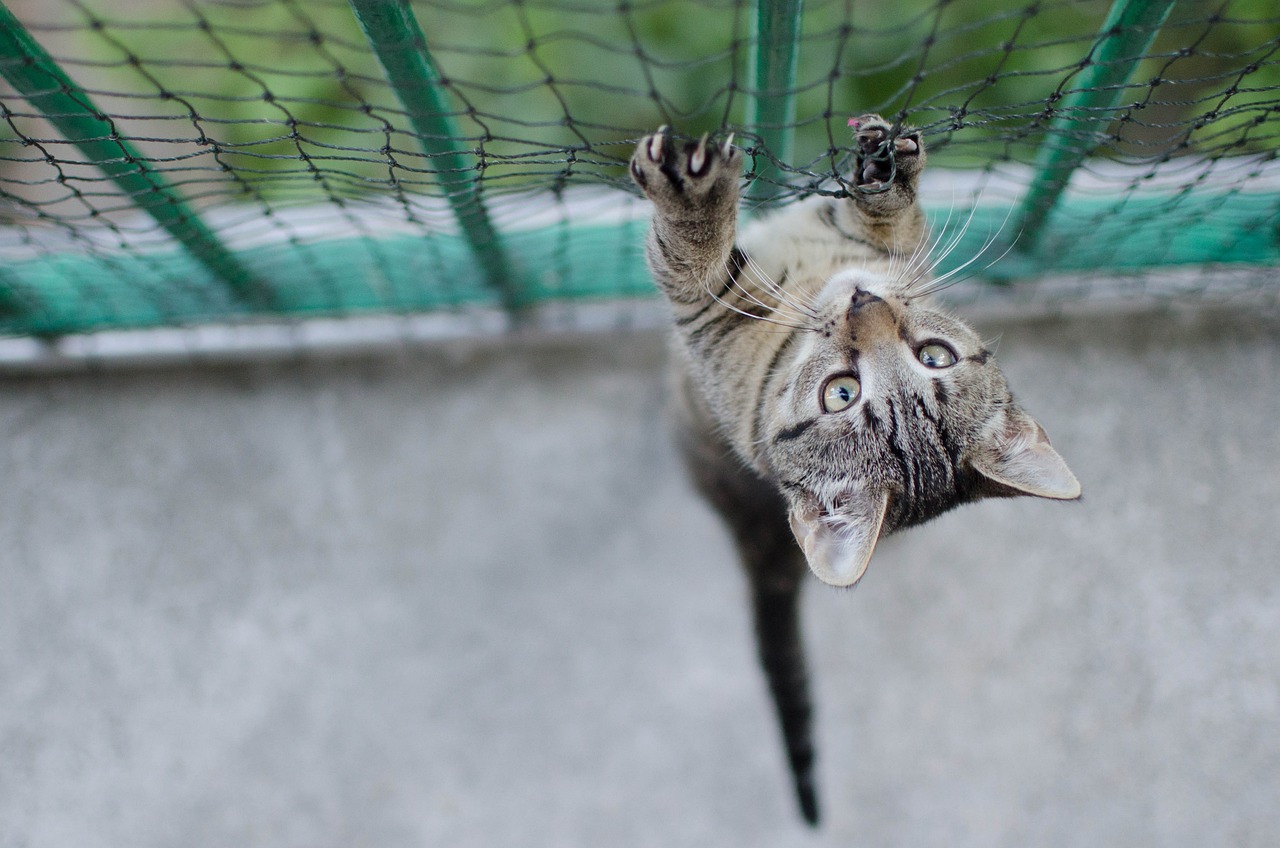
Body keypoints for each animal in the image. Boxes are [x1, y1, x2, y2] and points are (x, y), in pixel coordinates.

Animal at [629, 116, 1080, 824]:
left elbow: (695, 260)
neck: (815, 280)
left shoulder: (708, 317)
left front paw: (694, 199)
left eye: (933, 356)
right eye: (841, 393)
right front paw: (882, 171)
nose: (866, 302)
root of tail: (762, 541)